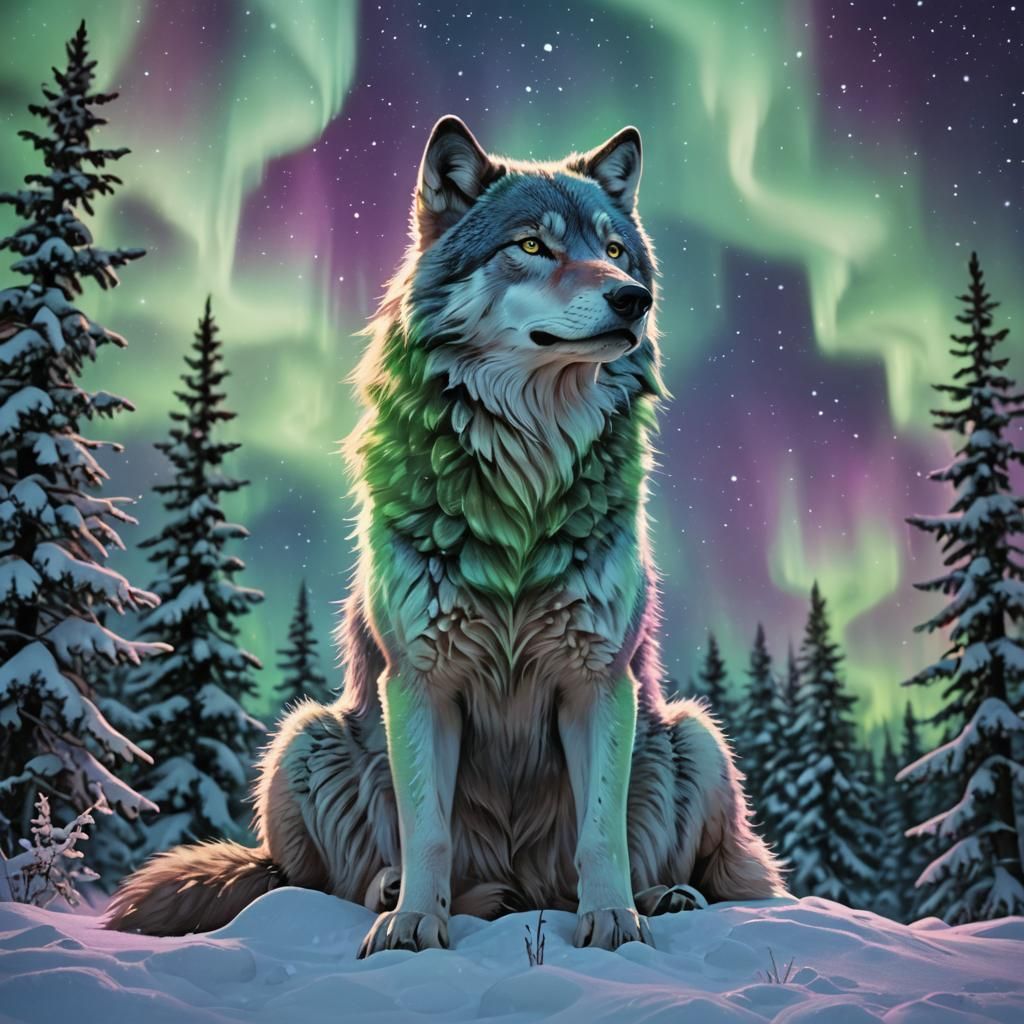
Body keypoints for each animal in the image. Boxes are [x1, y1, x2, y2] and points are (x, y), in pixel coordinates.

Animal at [107, 116, 785, 955]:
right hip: (304, 736)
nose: (635, 299)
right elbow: (426, 829)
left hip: (694, 735)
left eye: (615, 249)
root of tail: (521, 886)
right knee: (325, 877)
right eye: (532, 245)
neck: (525, 479)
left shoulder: (598, 680)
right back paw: (395, 891)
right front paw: (413, 927)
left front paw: (611, 923)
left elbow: (601, 833)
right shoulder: (419, 681)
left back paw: (663, 897)